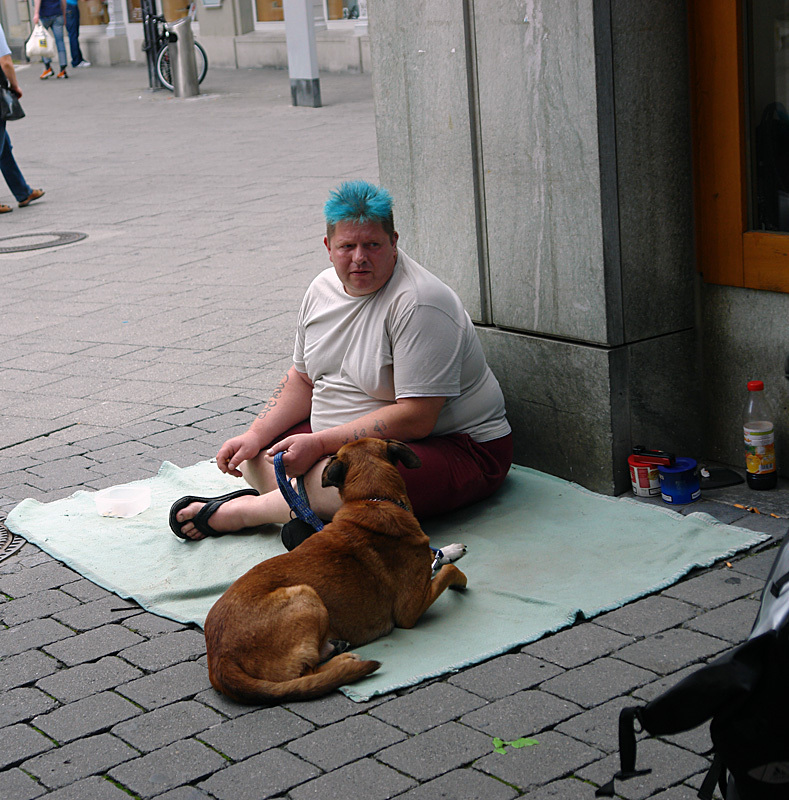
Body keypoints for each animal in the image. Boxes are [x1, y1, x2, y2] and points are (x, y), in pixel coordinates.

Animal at [203, 438, 468, 708]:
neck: (375, 500)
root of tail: (220, 659)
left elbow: (439, 559)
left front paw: (450, 550)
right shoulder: (410, 610)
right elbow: (450, 571)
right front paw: (459, 579)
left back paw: (335, 648)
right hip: (306, 595)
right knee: (306, 673)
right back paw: (342, 660)